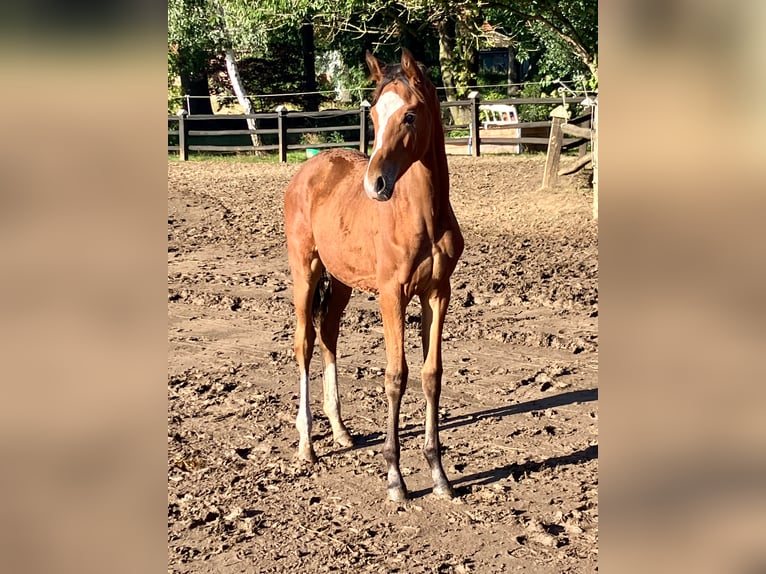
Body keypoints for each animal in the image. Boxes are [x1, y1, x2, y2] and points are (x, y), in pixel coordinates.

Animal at [282, 47, 462, 502]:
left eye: (410, 115)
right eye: (375, 117)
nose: (375, 184)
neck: (423, 215)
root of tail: (309, 169)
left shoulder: (438, 292)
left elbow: (431, 374)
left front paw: (439, 474)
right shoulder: (391, 293)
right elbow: (395, 376)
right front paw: (396, 478)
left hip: (342, 281)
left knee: (327, 334)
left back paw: (341, 431)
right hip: (305, 270)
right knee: (304, 342)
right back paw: (307, 444)